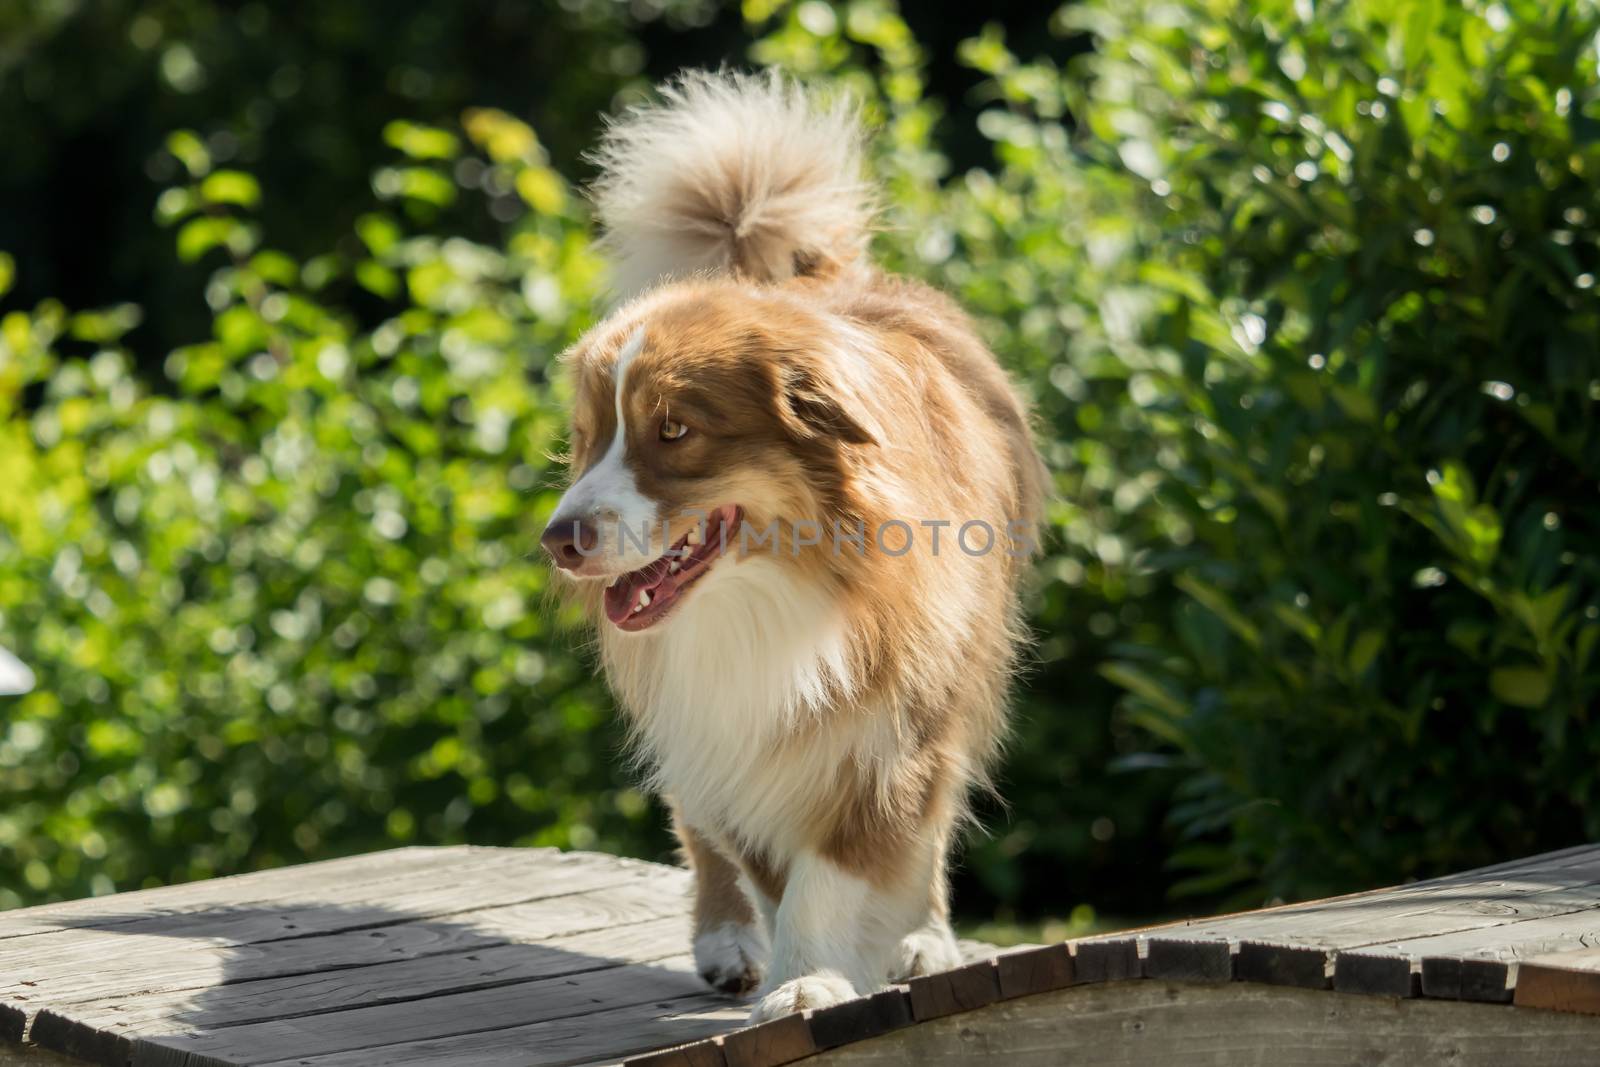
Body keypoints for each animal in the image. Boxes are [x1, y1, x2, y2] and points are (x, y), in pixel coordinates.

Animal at [544, 70, 1049, 1023]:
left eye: (674, 430)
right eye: (589, 439)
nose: (558, 540)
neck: (779, 586)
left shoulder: (900, 708)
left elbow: (847, 855)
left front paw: (813, 974)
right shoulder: (719, 709)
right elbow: (763, 853)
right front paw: (790, 963)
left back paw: (924, 936)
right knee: (701, 820)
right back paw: (727, 939)